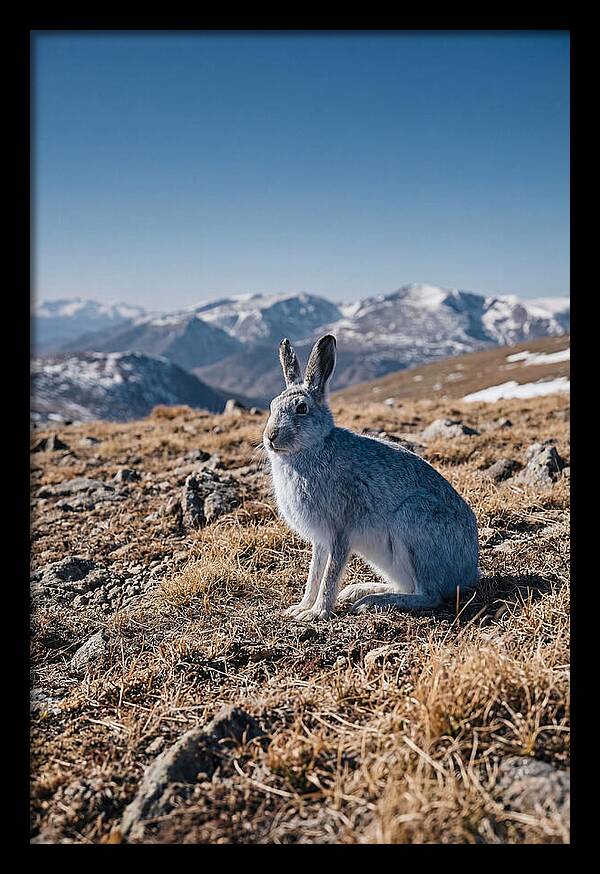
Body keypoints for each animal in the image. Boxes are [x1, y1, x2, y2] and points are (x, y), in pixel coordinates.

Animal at [263, 334, 480, 621]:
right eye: (272, 405)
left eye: (301, 408)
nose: (271, 436)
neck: (312, 448)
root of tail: (470, 572)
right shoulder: (321, 540)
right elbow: (314, 573)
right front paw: (300, 608)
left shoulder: (340, 530)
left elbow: (330, 574)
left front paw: (318, 612)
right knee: (407, 585)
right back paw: (359, 591)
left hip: (414, 522)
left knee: (428, 594)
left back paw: (373, 601)